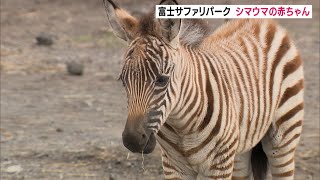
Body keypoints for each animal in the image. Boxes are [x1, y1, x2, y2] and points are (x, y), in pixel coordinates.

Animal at [103, 0, 304, 179]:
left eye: (162, 80)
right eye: (123, 81)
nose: (132, 141)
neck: (182, 126)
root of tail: (264, 21)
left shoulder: (218, 165)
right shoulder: (173, 166)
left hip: (283, 136)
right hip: (241, 146)